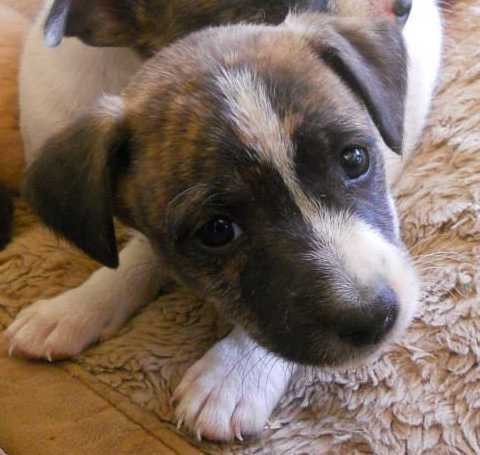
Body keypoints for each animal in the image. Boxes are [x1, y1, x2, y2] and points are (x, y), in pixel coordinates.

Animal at [6, 0, 443, 443]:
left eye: (355, 159)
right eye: (217, 231)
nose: (374, 318)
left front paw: (235, 374)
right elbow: (140, 254)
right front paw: (76, 307)